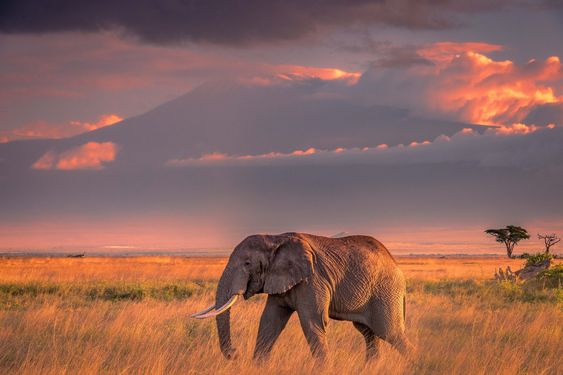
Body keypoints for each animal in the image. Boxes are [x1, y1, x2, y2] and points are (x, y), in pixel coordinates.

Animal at [192, 234, 412, 362]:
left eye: (247, 263)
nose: (234, 354)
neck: (275, 239)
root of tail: (397, 265)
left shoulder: (312, 280)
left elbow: (312, 322)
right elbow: (270, 321)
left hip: (385, 292)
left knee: (390, 332)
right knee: (368, 334)